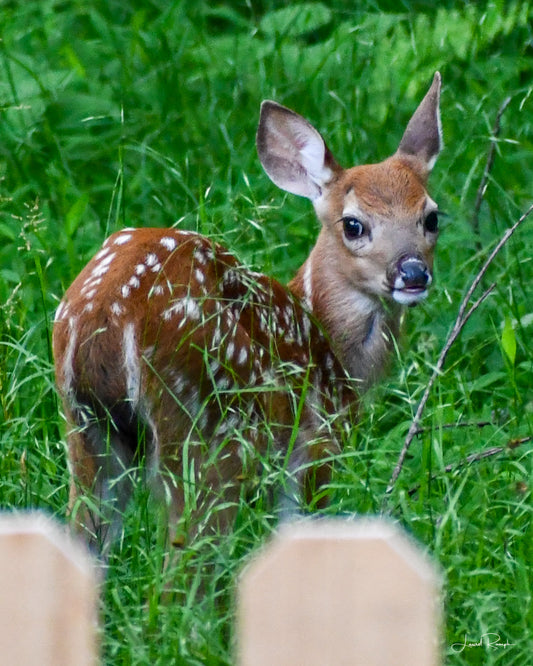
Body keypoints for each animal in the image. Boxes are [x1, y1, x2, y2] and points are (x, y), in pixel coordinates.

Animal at [53, 73, 443, 554]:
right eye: (353, 224)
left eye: (431, 217)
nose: (413, 272)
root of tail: (103, 320)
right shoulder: (314, 445)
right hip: (206, 429)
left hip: (86, 431)